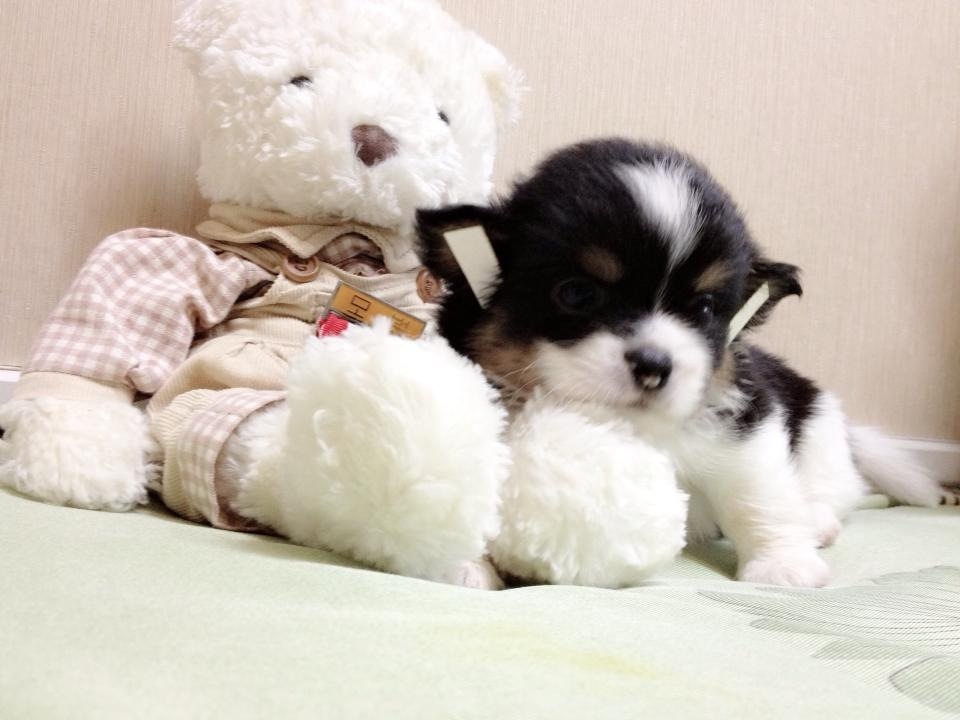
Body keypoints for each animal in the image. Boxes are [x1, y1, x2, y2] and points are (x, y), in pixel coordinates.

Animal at [416, 137, 956, 587]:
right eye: (576, 294)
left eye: (704, 309)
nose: (655, 364)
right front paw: (465, 563)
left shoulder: (745, 420)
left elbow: (757, 492)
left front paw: (783, 565)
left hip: (820, 434)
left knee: (833, 493)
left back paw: (815, 522)